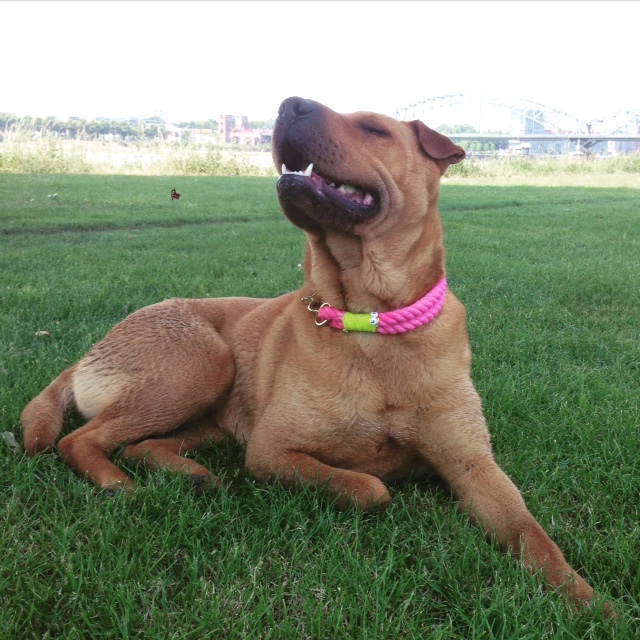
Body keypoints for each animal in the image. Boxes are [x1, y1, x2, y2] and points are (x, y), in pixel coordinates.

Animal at [21, 96, 608, 616]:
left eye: (374, 129)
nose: (289, 105)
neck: (372, 322)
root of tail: (91, 351)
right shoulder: (271, 450)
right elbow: (369, 486)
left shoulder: (474, 467)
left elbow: (532, 533)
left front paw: (588, 601)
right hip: (202, 364)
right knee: (81, 440)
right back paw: (119, 485)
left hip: (209, 416)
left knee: (141, 444)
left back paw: (184, 474)